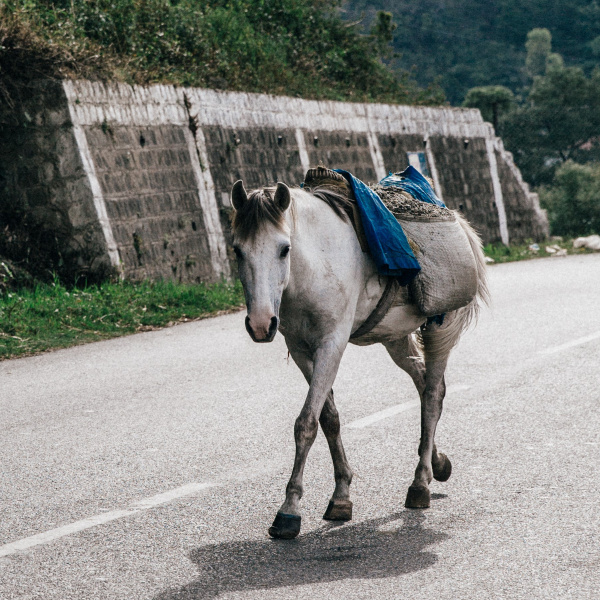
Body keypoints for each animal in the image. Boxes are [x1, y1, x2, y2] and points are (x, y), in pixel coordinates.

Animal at [229, 177, 488, 540]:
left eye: (284, 249)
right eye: (237, 250)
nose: (261, 324)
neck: (316, 263)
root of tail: (463, 228)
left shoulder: (331, 345)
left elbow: (306, 423)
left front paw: (289, 511)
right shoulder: (301, 349)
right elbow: (329, 419)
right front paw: (341, 496)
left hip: (441, 327)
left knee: (433, 394)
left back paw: (420, 484)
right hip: (395, 337)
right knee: (423, 382)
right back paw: (436, 463)